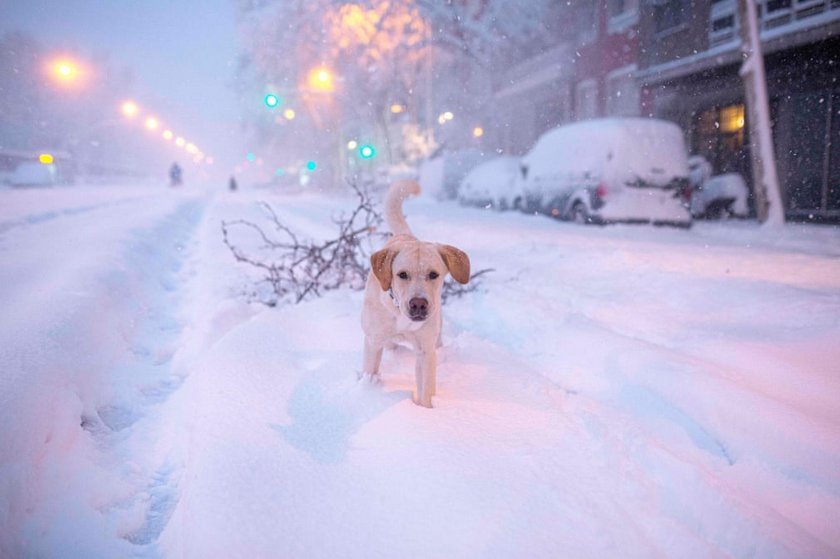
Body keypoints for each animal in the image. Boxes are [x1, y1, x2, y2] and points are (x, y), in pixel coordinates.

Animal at [358, 182, 470, 410]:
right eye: (402, 274)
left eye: (433, 274)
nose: (418, 304)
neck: (399, 312)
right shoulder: (373, 341)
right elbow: (370, 369)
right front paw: (369, 389)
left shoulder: (425, 351)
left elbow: (426, 392)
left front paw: (424, 412)